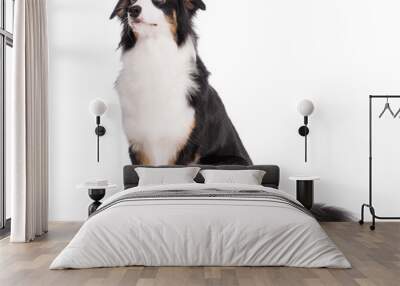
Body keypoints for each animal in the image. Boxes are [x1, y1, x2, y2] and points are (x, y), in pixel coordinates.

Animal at [111, 0, 252, 165]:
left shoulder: (186, 144)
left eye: (161, 1)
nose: (133, 10)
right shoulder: (138, 144)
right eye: (132, 1)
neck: (154, 56)